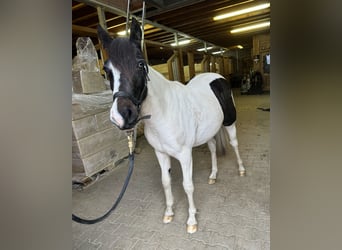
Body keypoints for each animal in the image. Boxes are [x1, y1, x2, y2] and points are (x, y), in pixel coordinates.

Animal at [97, 18, 244, 233]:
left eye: (140, 64)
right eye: (107, 71)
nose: (121, 116)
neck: (165, 113)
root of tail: (217, 77)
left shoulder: (184, 155)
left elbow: (187, 185)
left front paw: (191, 221)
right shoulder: (161, 153)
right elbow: (166, 182)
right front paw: (168, 213)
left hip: (230, 123)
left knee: (234, 144)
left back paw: (241, 170)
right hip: (209, 132)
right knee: (212, 148)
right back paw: (213, 175)